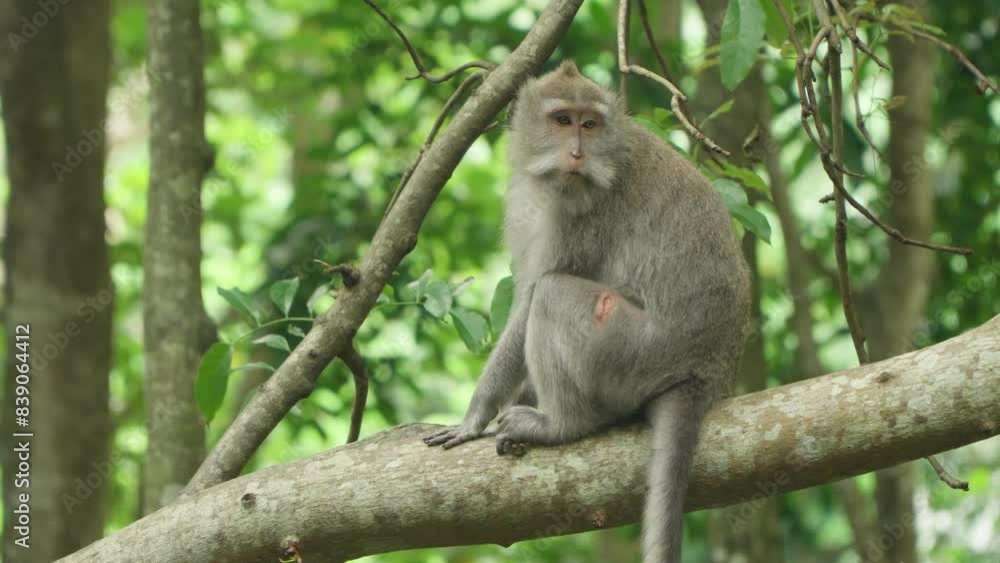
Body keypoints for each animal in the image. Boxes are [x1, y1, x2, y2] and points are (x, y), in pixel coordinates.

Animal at [424, 60, 750, 563]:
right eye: (563, 120)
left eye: (590, 124)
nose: (577, 153)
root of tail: (707, 373)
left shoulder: (585, 214)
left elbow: (532, 299)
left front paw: (473, 416)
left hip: (632, 350)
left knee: (554, 295)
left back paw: (561, 425)